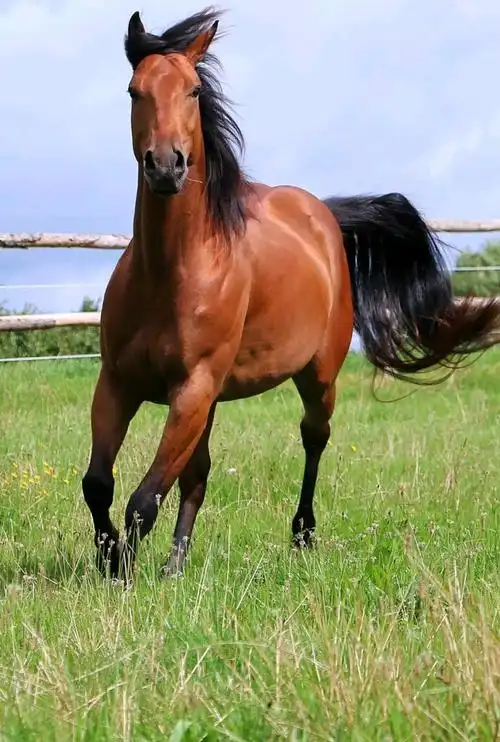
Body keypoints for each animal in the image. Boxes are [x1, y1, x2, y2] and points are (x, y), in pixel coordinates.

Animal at [82, 7, 500, 580]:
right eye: (133, 91)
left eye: (193, 91)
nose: (166, 165)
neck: (169, 273)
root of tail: (323, 215)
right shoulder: (121, 384)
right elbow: (99, 485)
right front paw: (111, 560)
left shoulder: (191, 391)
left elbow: (143, 501)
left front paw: (122, 572)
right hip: (209, 401)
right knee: (197, 475)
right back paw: (176, 565)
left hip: (316, 377)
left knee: (313, 438)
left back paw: (302, 535)